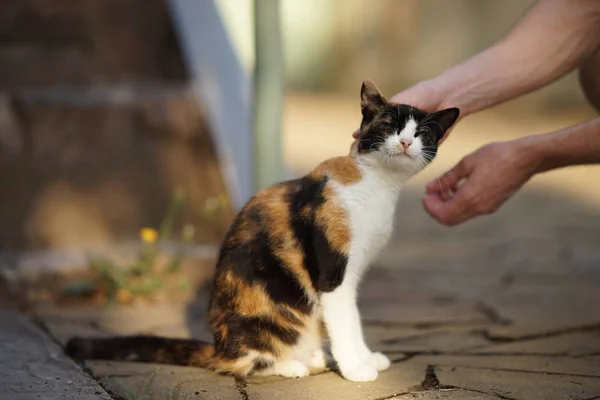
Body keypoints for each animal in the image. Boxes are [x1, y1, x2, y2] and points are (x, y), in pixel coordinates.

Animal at [65, 79, 460, 382]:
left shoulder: (355, 270)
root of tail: (219, 346)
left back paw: (313, 356)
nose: (405, 142)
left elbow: (353, 317)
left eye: (422, 133)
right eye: (390, 127)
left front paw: (366, 358)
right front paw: (356, 369)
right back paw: (291, 365)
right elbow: (345, 321)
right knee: (245, 363)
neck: (379, 185)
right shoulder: (333, 272)